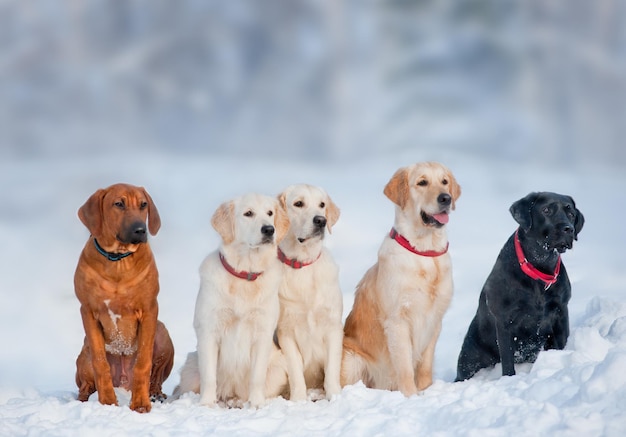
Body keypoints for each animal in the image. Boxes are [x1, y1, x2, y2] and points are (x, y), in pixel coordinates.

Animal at [74, 183, 174, 412]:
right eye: (118, 204)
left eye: (143, 205)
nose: (140, 230)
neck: (118, 260)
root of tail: (122, 382)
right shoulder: (88, 311)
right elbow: (100, 363)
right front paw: (107, 403)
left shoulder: (149, 310)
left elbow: (143, 362)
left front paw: (140, 404)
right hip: (84, 351)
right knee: (86, 382)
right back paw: (83, 399)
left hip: (162, 333)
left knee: (155, 378)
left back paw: (155, 394)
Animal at [173, 192, 290, 408]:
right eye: (248, 213)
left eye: (270, 213)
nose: (269, 229)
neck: (244, 275)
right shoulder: (209, 331)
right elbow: (209, 377)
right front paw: (206, 405)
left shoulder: (262, 333)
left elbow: (256, 377)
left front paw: (257, 404)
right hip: (192, 364)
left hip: (278, 366)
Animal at [274, 182, 342, 400]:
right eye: (298, 203)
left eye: (322, 205)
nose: (321, 220)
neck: (302, 264)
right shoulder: (285, 332)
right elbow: (296, 372)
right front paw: (298, 399)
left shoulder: (333, 326)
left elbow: (331, 369)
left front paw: (335, 395)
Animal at [450, 191, 584, 378]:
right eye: (546, 210)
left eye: (571, 213)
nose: (568, 228)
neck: (539, 267)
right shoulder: (504, 321)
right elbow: (507, 362)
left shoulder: (561, 312)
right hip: (469, 359)